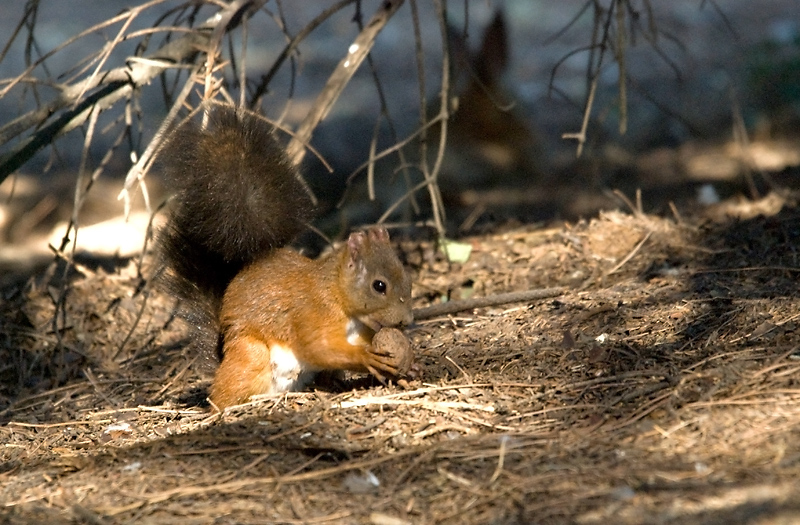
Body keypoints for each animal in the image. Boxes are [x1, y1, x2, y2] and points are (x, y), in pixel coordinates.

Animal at [159, 105, 416, 410]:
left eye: (408, 279)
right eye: (379, 286)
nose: (405, 322)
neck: (337, 293)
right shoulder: (310, 313)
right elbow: (318, 347)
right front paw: (366, 358)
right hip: (250, 354)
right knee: (223, 394)